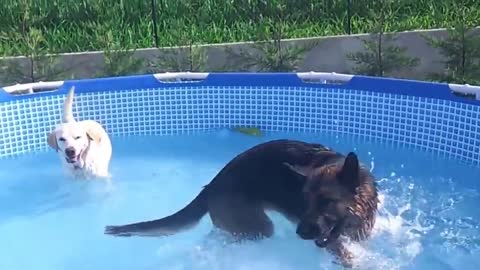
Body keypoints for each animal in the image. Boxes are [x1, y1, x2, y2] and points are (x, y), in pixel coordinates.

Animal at [105, 140, 378, 266]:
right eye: (306, 201)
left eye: (326, 201)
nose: (300, 233)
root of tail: (211, 186)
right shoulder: (332, 242)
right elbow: (344, 255)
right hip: (259, 228)